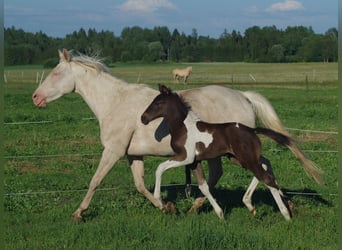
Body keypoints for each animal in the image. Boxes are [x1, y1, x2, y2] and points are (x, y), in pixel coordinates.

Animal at [141, 85, 294, 220]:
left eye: (158, 102)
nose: (143, 118)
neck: (184, 128)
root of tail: (252, 130)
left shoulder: (186, 157)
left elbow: (160, 168)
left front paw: (158, 199)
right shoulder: (195, 161)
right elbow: (204, 187)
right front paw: (220, 214)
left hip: (247, 159)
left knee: (267, 178)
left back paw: (285, 214)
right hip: (238, 159)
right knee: (264, 170)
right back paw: (252, 206)